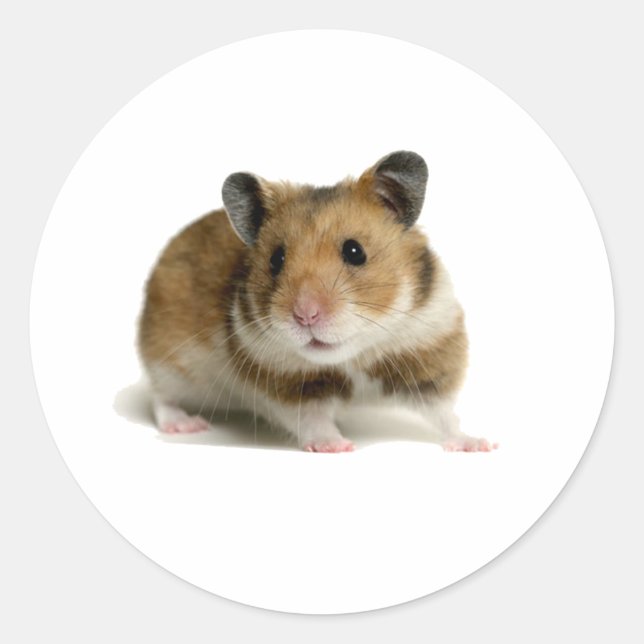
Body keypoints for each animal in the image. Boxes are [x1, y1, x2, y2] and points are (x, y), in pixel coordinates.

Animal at [138, 151, 496, 453]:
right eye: (276, 259)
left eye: (355, 251)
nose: (306, 316)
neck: (352, 357)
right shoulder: (289, 384)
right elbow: (312, 419)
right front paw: (338, 447)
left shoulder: (427, 355)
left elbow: (445, 414)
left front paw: (479, 445)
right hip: (168, 360)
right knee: (160, 397)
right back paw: (186, 425)